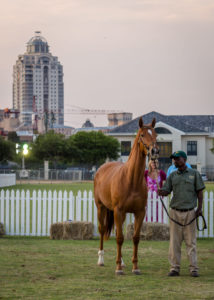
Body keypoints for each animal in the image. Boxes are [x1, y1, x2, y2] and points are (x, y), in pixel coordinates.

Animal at [94, 116, 159, 274]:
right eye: (142, 135)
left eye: (156, 134)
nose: (154, 151)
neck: (131, 179)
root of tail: (101, 169)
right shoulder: (118, 210)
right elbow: (119, 238)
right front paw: (118, 268)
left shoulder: (139, 212)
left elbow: (135, 238)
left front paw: (135, 267)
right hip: (101, 208)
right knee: (102, 230)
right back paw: (101, 260)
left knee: (119, 231)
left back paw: (122, 261)